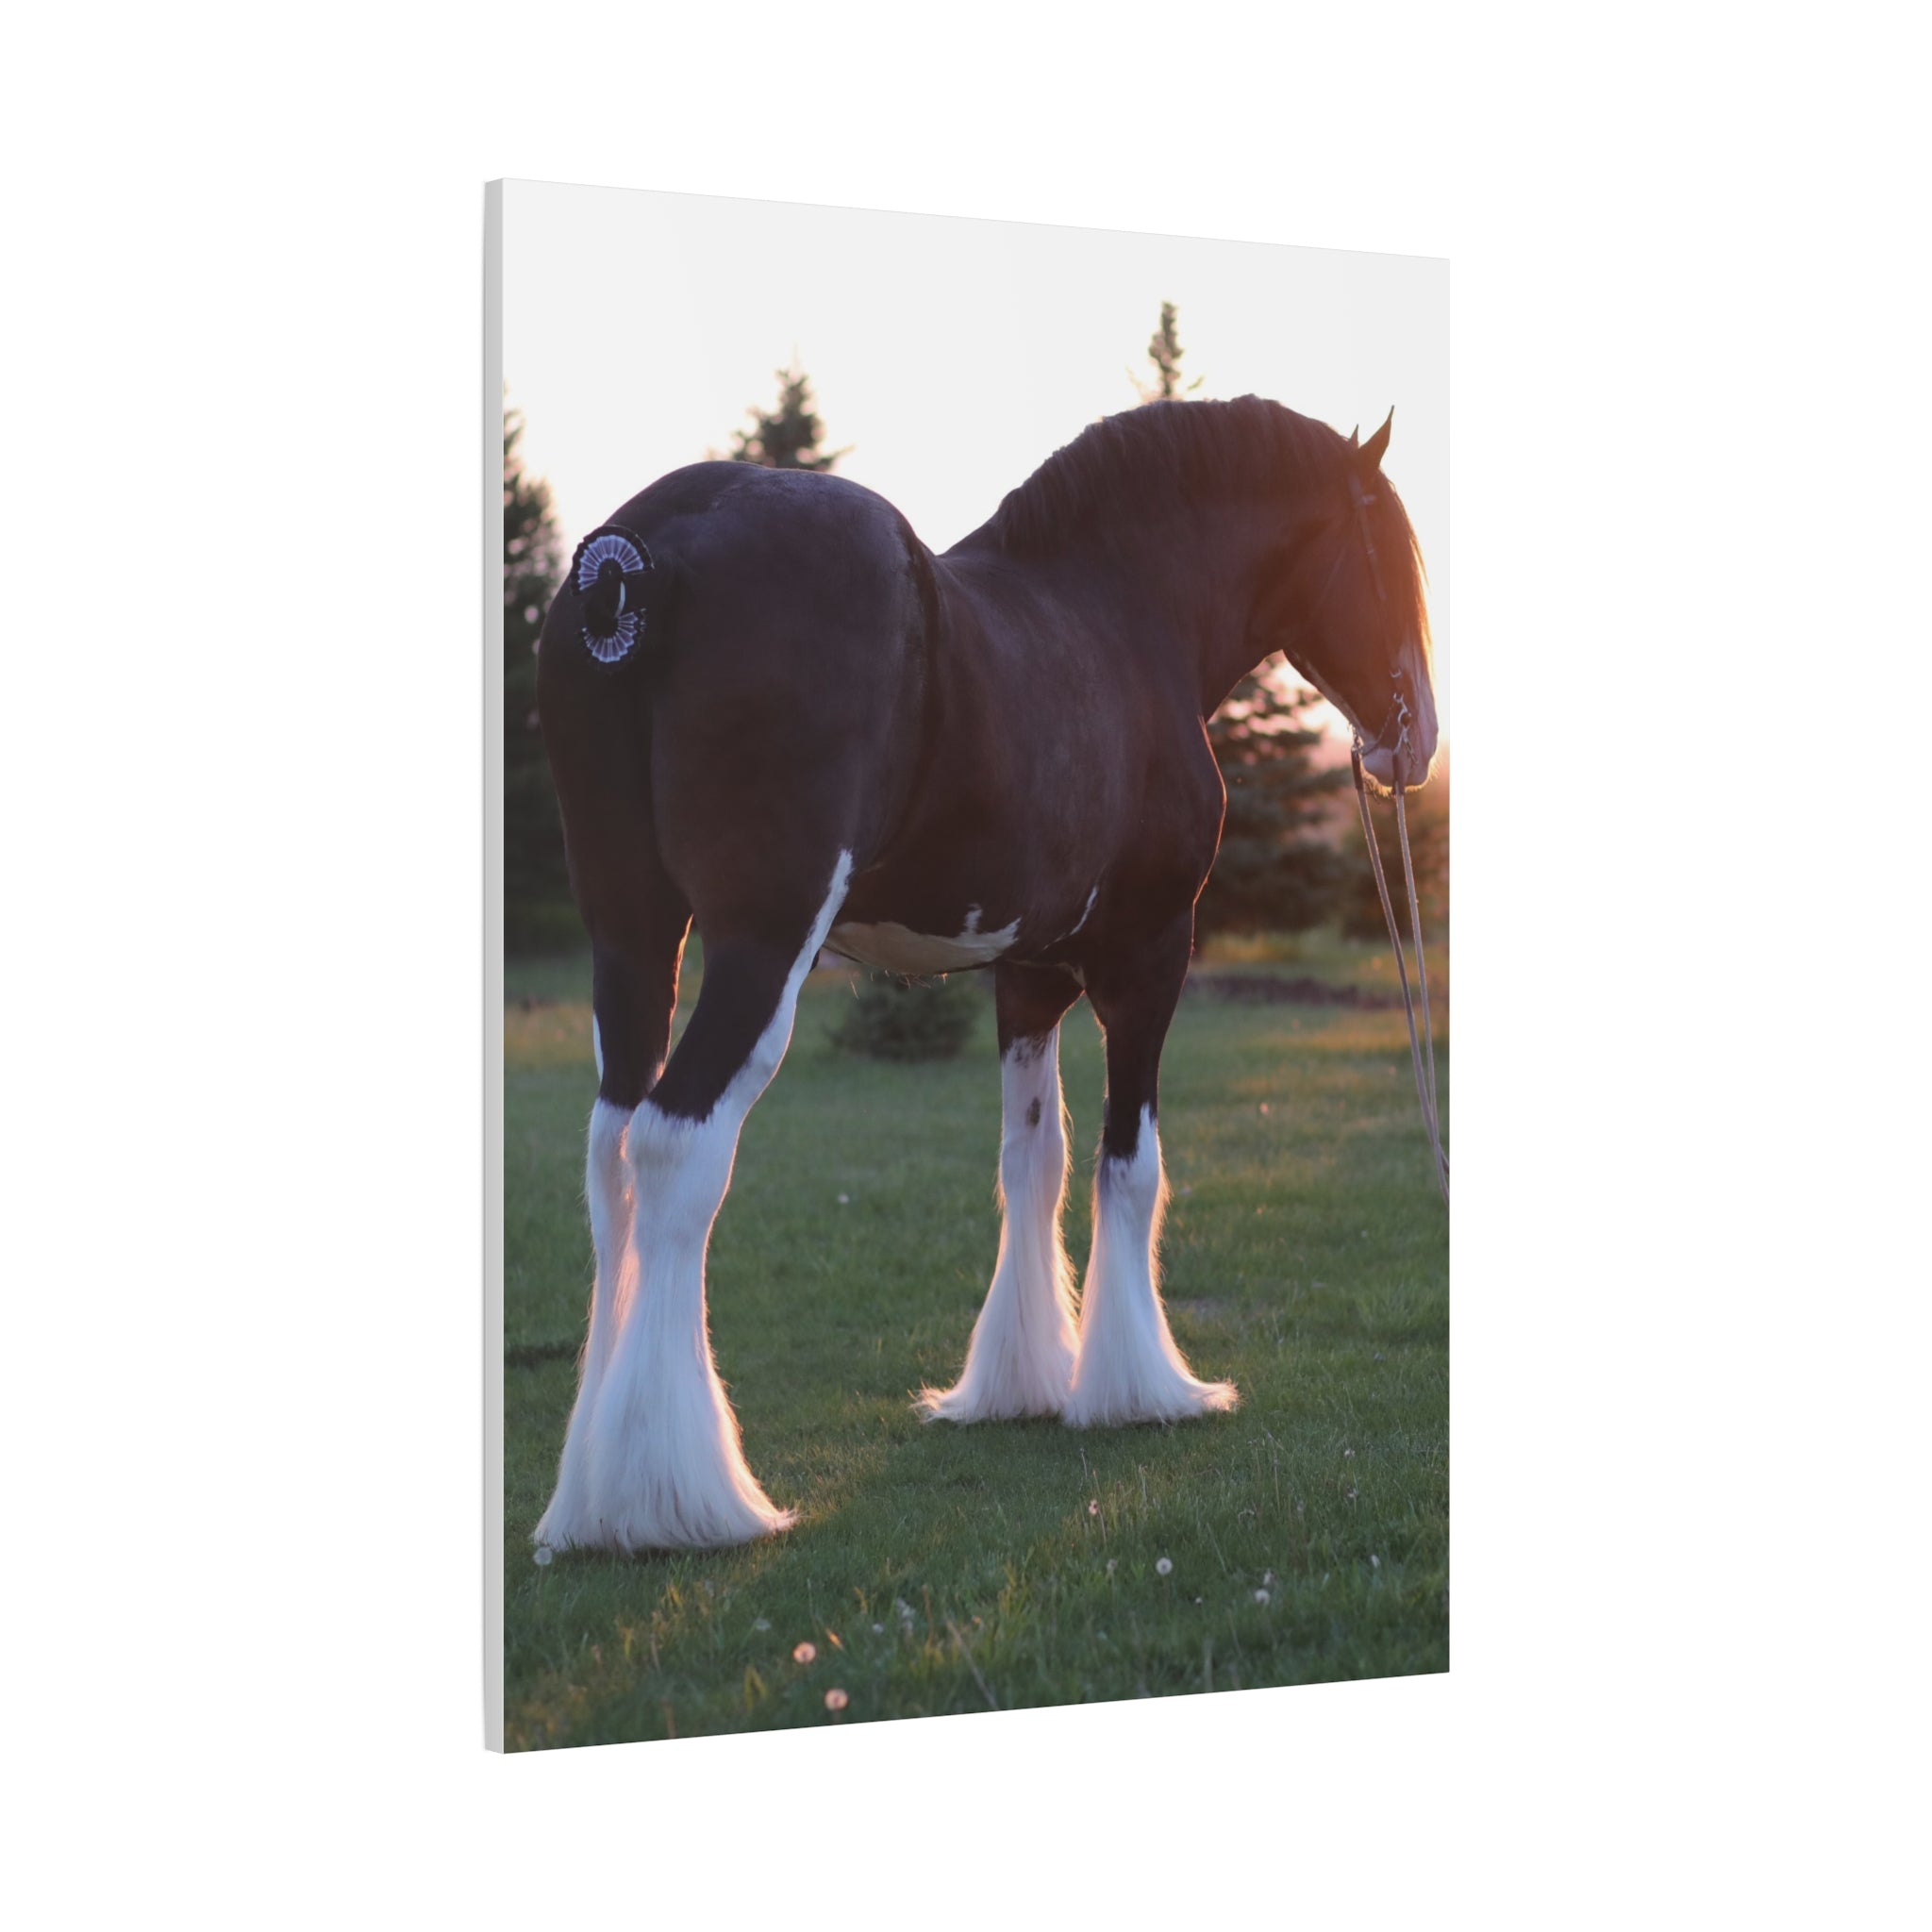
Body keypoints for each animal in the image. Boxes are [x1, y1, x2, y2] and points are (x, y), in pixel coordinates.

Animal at [529, 394, 1438, 1555]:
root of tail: (635, 556)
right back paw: (677, 1499)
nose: (1415, 740)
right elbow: (1129, 1165)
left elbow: (1031, 1163)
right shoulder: (1150, 955)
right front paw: (1138, 1389)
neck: (1119, 612)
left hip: (635, 934)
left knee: (609, 1154)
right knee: (676, 1146)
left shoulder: (1027, 974)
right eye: (1390, 551)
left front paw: (1020, 1381)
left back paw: (588, 1498)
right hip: (758, 943)